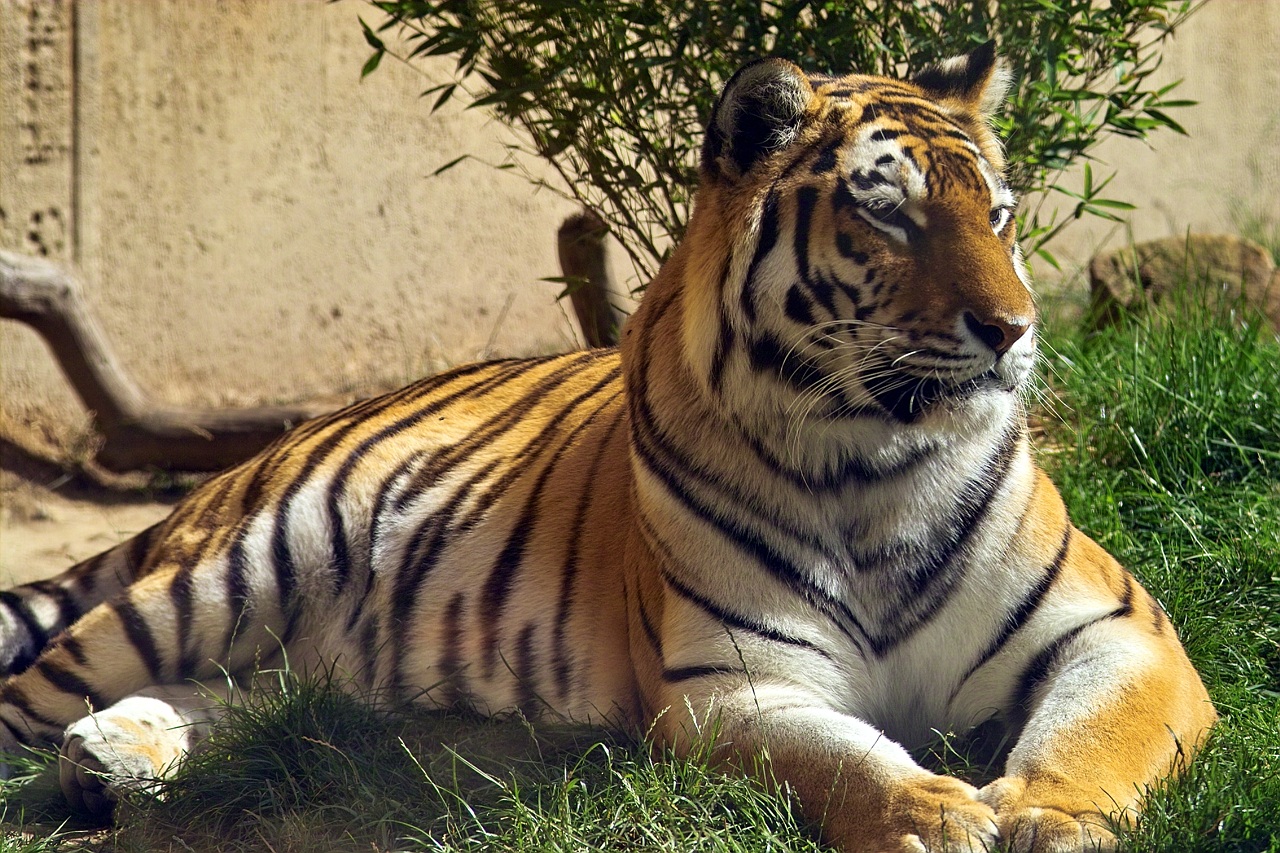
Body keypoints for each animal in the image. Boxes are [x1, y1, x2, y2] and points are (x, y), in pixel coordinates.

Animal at [0, 43, 1213, 845]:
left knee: (254, 697)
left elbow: (1092, 737)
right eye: (888, 214)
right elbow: (843, 760)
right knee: (35, 687)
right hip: (230, 573)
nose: (1013, 327)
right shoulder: (731, 683)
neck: (879, 464)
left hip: (305, 661)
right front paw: (931, 811)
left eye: (997, 213)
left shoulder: (1122, 633)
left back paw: (116, 757)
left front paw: (1051, 819)